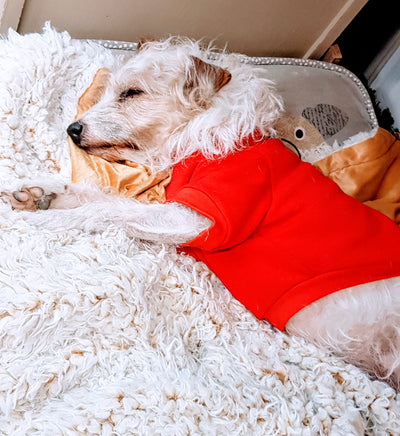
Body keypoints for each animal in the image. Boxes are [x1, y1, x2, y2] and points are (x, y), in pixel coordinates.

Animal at [2, 38, 400, 388]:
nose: (72, 129)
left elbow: (108, 211)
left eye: (131, 93)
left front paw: (48, 220)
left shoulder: (196, 215)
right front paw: (43, 194)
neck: (208, 133)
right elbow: (103, 198)